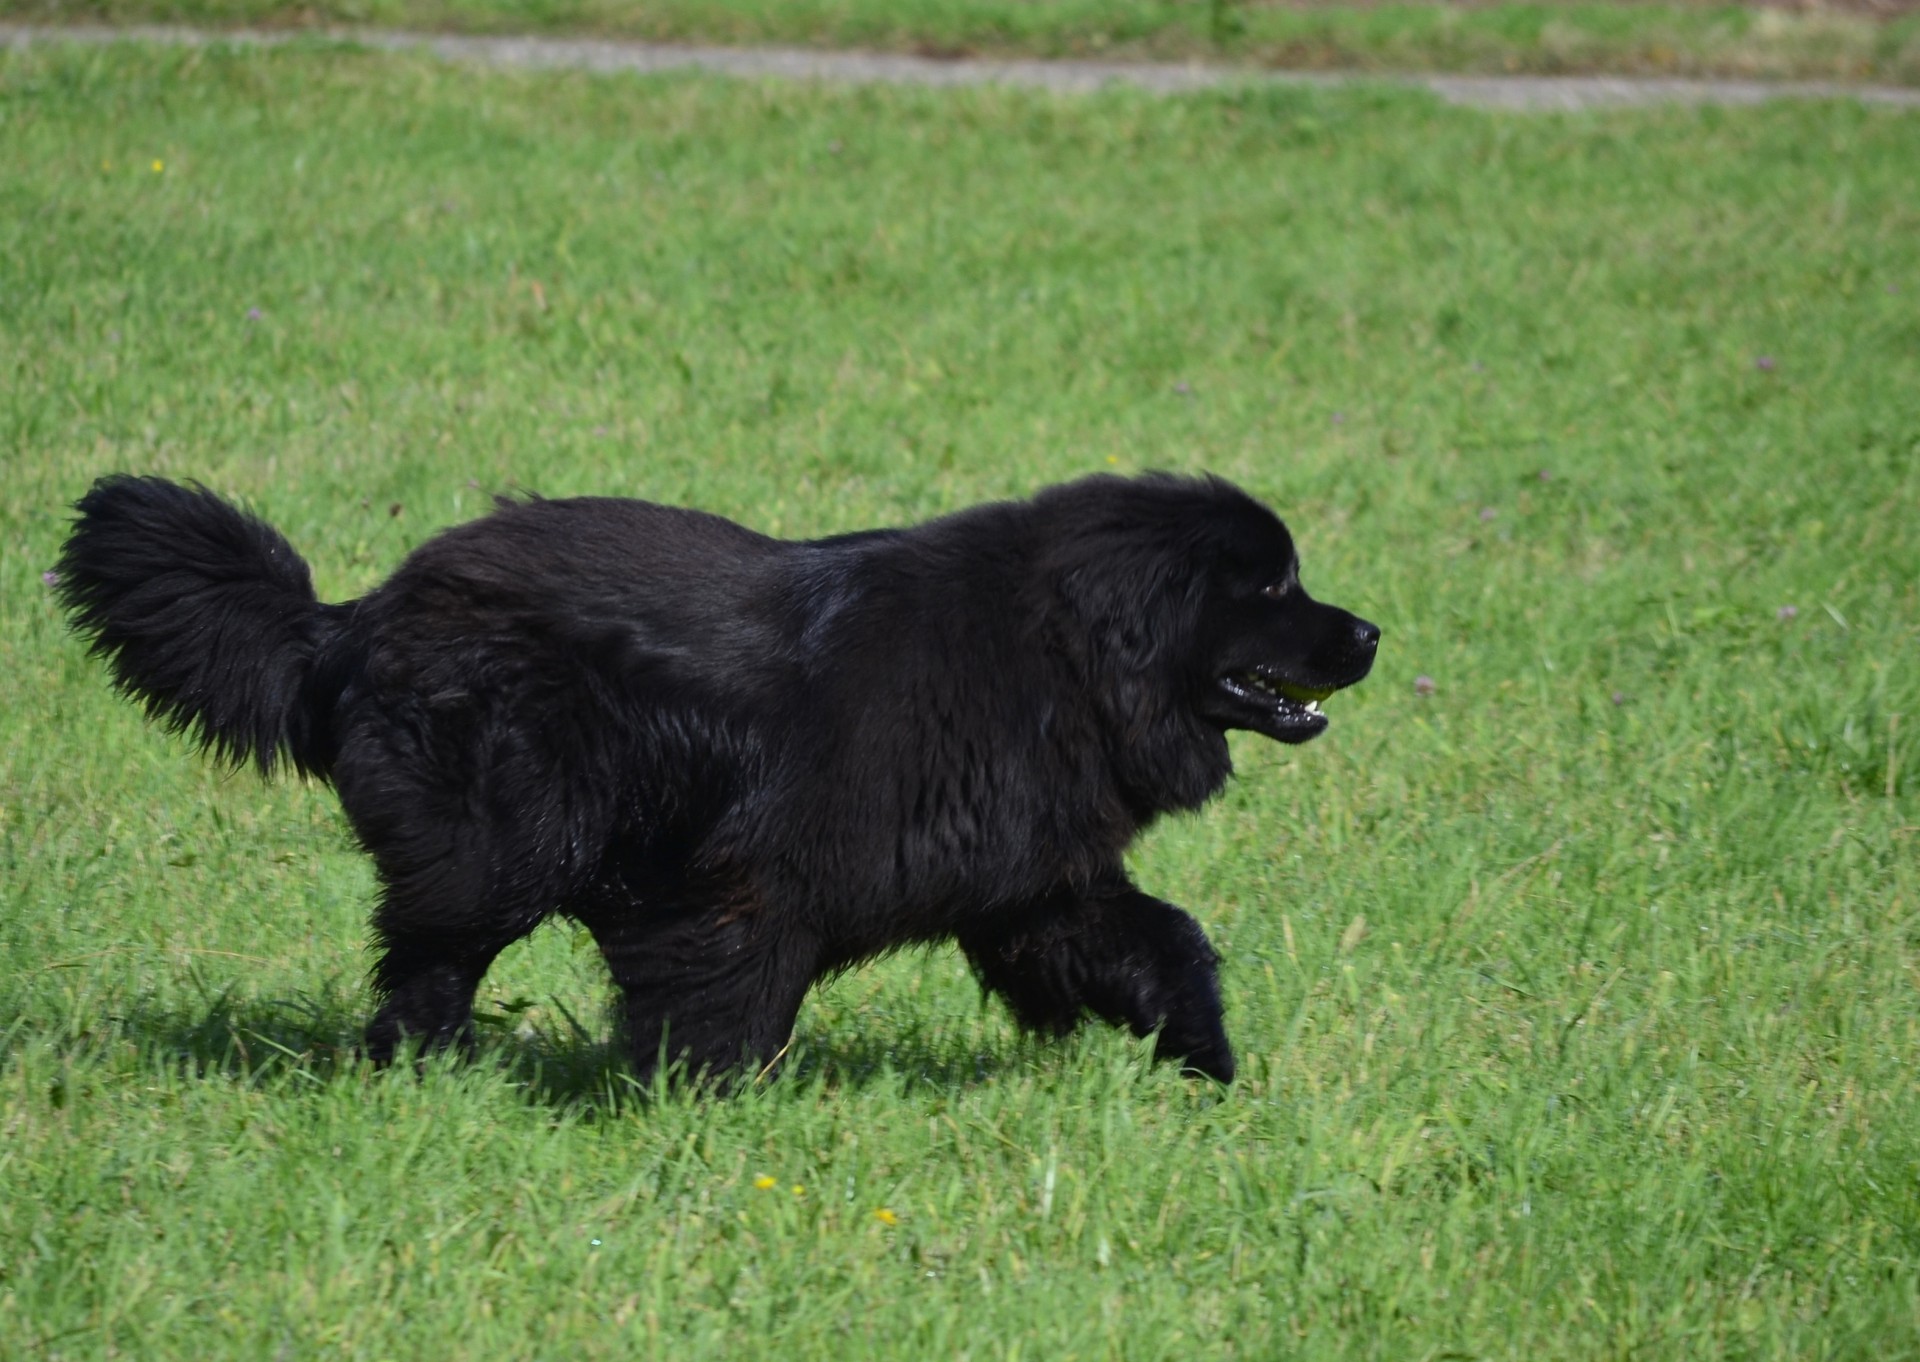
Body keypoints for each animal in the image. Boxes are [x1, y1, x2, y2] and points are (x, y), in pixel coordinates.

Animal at [60, 470, 1382, 1083]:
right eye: (1270, 586)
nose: (1372, 633)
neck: (1057, 654)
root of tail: (351, 621)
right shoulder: (747, 884)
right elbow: (723, 1002)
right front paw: (692, 1111)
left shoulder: (1032, 879)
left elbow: (1159, 946)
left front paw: (1210, 1069)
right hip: (504, 841)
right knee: (429, 958)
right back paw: (414, 1069)